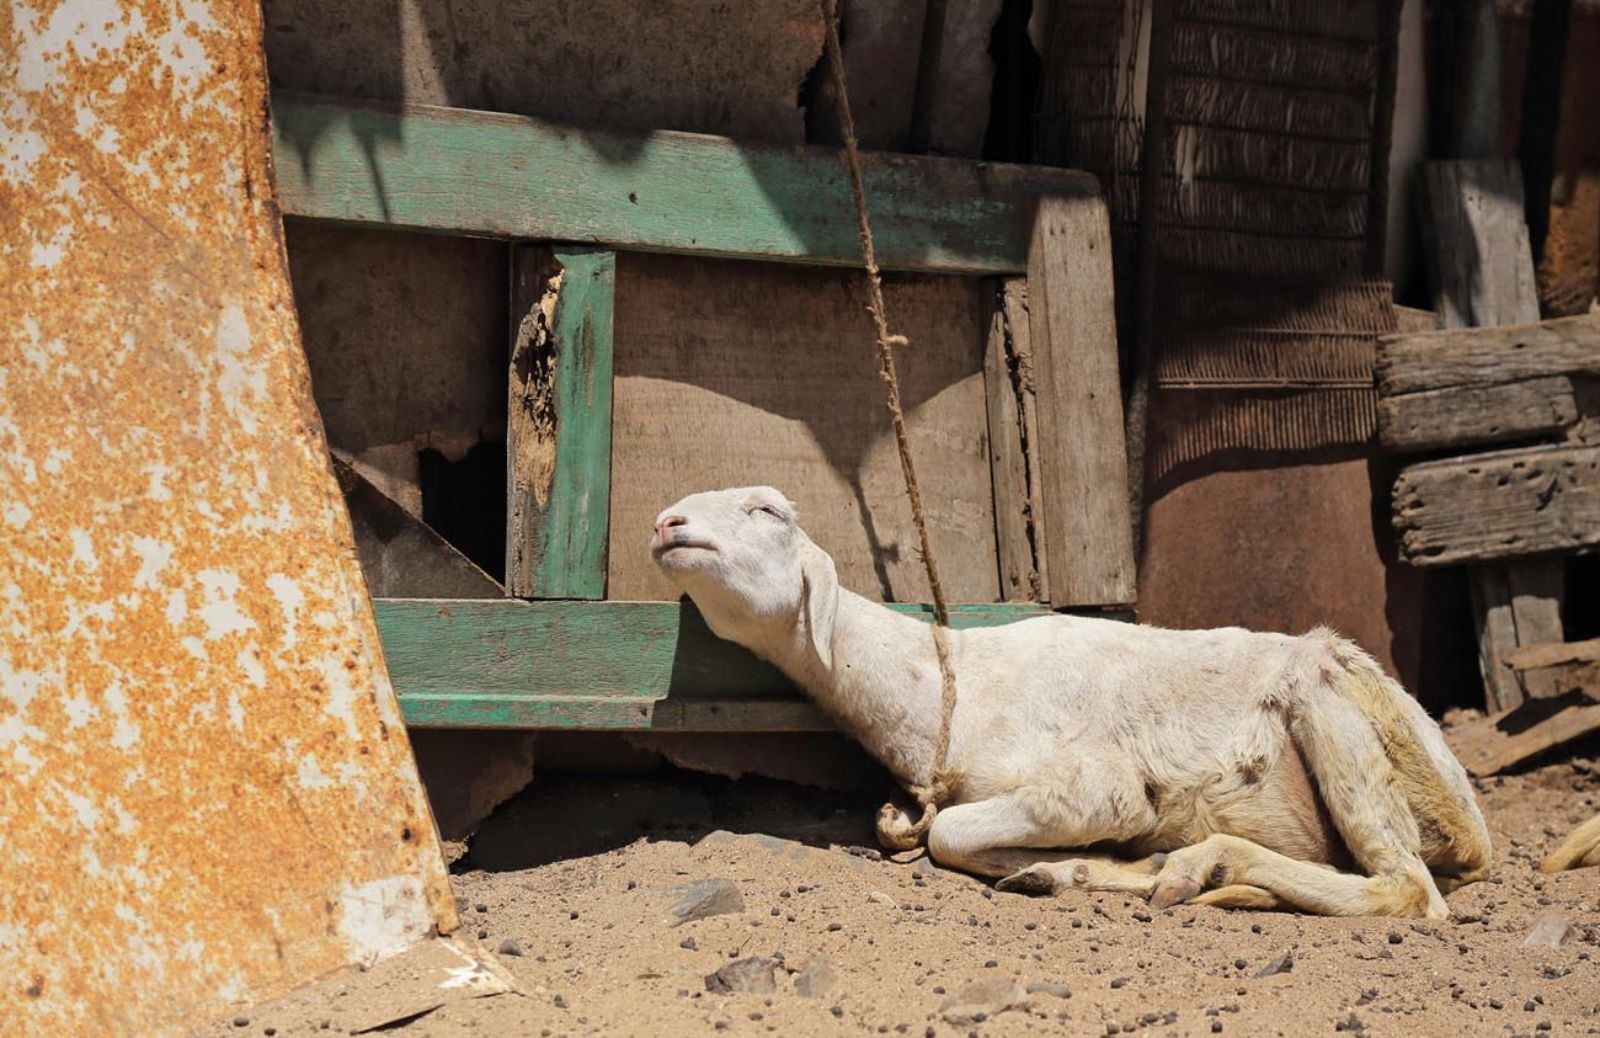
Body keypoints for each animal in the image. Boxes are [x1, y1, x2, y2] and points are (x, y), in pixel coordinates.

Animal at [643, 486, 1491, 914]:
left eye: (768, 511)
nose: (665, 521)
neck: (946, 688)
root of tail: (1476, 835)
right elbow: (932, 832)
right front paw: (1066, 869)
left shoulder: (1095, 786)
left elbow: (950, 832)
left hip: (1337, 702)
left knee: (1408, 890)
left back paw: (1206, 865)